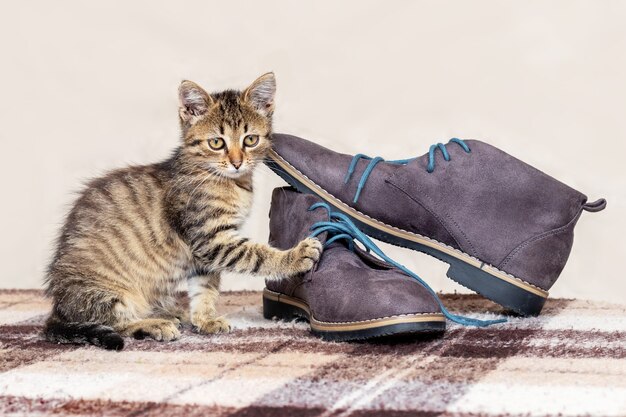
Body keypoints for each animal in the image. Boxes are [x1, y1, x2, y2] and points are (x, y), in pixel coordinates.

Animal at [42, 73, 322, 350]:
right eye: (216, 142)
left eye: (250, 140)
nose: (237, 162)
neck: (227, 181)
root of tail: (59, 309)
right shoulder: (211, 238)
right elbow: (255, 255)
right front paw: (295, 256)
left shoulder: (204, 254)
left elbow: (205, 287)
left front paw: (205, 318)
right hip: (109, 291)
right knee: (114, 321)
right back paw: (155, 323)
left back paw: (171, 312)